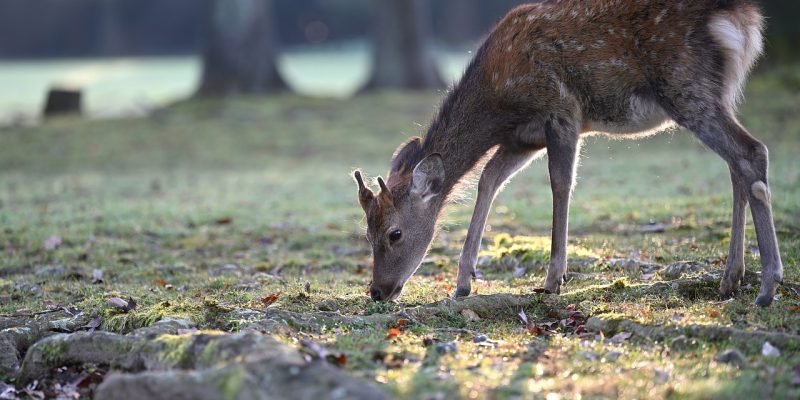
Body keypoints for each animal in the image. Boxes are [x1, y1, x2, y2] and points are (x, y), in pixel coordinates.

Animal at [354, 0, 780, 306]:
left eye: (394, 233)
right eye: (366, 233)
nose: (377, 291)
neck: (498, 101)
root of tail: (744, 16)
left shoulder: (560, 110)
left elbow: (560, 183)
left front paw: (552, 279)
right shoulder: (521, 138)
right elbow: (488, 180)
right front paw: (463, 282)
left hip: (685, 85)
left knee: (751, 151)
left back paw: (767, 285)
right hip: (720, 92)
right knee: (736, 165)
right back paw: (731, 278)